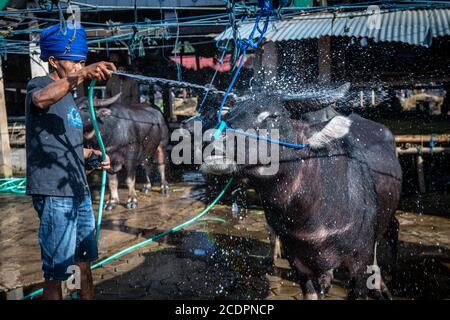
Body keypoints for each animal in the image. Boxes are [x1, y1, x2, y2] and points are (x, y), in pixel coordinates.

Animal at [199, 89, 402, 298]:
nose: (212, 141)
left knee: (392, 229)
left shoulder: (359, 262)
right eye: (228, 116)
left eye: (273, 116)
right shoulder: (297, 260)